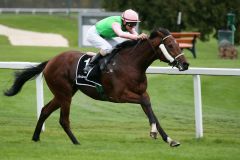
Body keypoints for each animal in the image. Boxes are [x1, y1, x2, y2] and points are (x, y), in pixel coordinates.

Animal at [4, 27, 189, 148]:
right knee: (63, 119)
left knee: (44, 110)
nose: (185, 64)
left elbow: (151, 110)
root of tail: (51, 61)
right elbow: (146, 104)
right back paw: (76, 142)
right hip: (64, 94)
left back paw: (36, 138)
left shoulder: (142, 93)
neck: (131, 64)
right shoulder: (119, 96)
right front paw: (153, 132)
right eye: (170, 45)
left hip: (64, 93)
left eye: (179, 44)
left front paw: (169, 139)